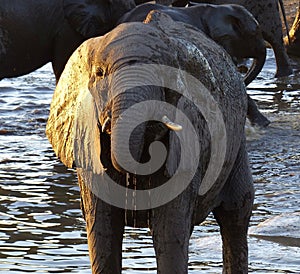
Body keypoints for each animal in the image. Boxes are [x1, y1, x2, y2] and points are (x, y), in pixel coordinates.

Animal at [46, 9, 253, 272]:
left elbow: (168, 232)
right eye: (100, 74)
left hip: (237, 142)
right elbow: (102, 229)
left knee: (236, 212)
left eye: (166, 75)